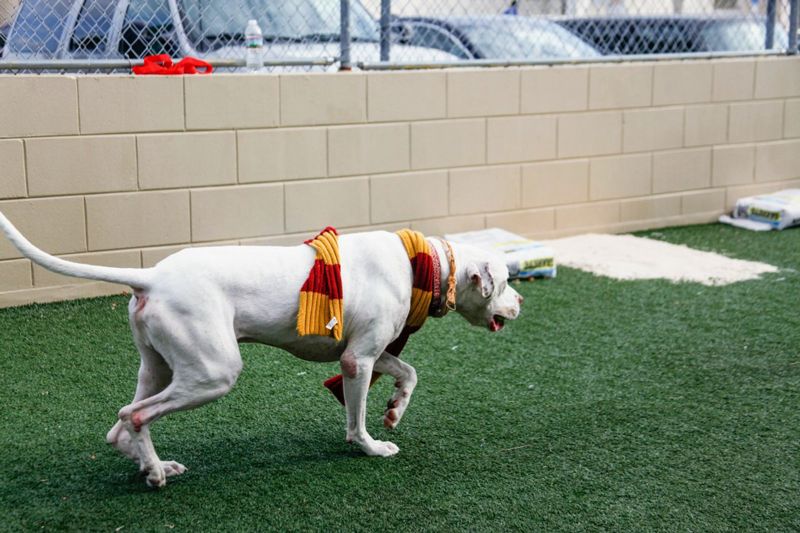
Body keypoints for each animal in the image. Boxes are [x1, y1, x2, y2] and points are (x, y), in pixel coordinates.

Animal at [0, 212, 520, 486]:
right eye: (505, 282)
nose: (521, 302)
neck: (421, 264)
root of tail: (151, 276)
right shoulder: (357, 360)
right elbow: (356, 420)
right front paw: (372, 445)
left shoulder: (368, 352)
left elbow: (409, 372)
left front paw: (394, 410)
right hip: (214, 372)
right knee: (137, 415)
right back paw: (155, 475)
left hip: (161, 367)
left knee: (120, 423)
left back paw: (153, 463)